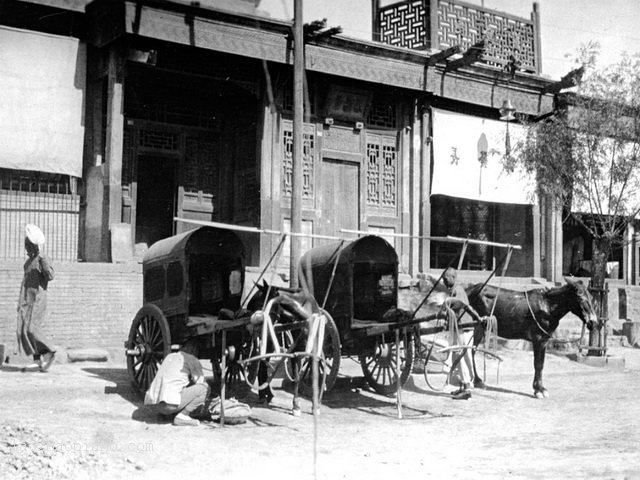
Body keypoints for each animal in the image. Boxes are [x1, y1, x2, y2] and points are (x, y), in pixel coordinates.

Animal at [464, 278, 600, 398]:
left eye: (591, 298)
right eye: (580, 298)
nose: (593, 323)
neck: (547, 307)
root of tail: (467, 289)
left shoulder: (544, 340)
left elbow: (542, 364)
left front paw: (541, 388)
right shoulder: (538, 339)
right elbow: (537, 364)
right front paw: (538, 390)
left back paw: (476, 380)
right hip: (476, 328)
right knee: (471, 350)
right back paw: (476, 380)